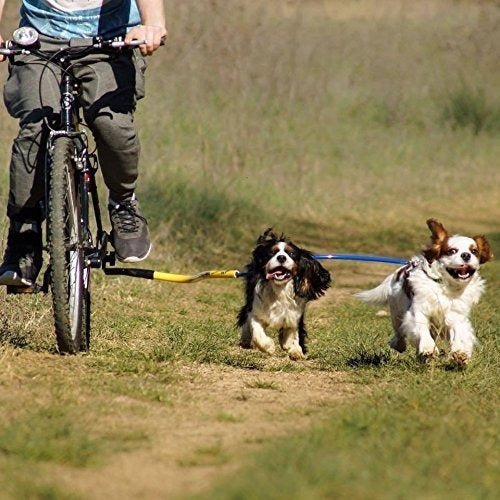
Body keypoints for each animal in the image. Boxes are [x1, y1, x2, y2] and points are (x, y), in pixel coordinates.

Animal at [236, 229, 330, 362]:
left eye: (291, 253)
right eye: (271, 253)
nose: (281, 257)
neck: (280, 289)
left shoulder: (295, 315)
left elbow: (293, 333)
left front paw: (294, 349)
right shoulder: (256, 312)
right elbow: (256, 331)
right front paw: (269, 346)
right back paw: (246, 339)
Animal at [356, 221, 492, 366]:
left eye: (474, 251)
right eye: (452, 251)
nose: (466, 255)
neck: (446, 286)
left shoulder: (456, 315)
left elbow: (460, 333)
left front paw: (460, 354)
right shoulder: (418, 311)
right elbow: (422, 329)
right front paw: (428, 348)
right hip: (396, 311)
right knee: (399, 331)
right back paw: (399, 345)